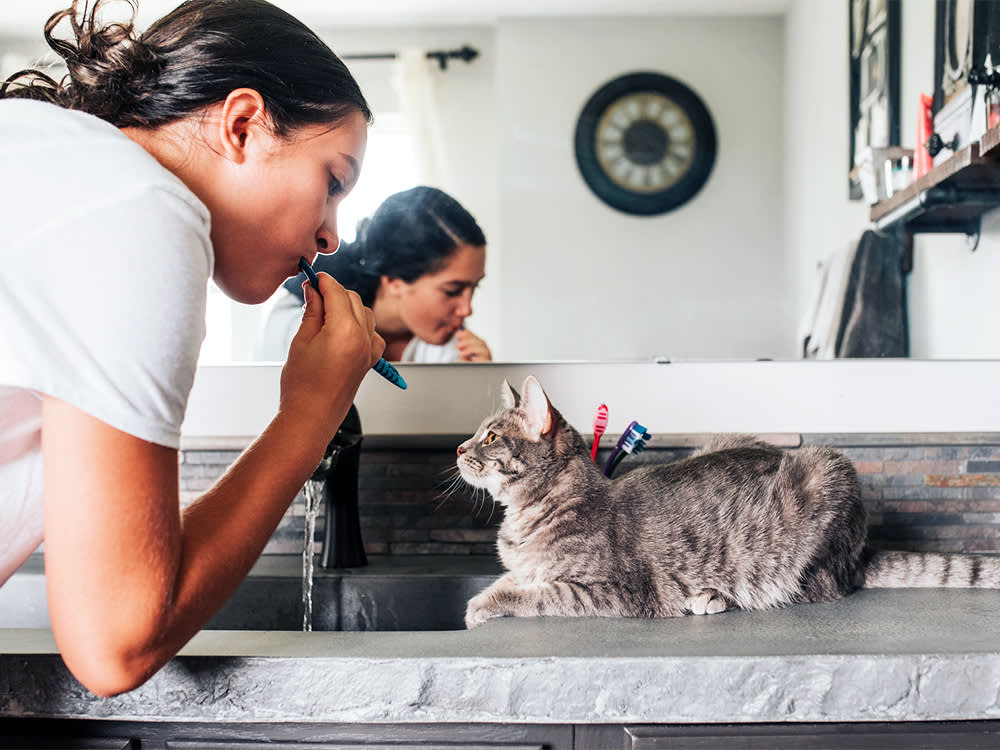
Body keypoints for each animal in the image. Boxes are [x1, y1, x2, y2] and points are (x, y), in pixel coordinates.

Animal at [458, 376, 1000, 628]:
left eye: (490, 436)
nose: (460, 448)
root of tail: (859, 553)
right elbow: (512, 579)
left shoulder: (611, 591)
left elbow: (531, 593)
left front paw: (479, 606)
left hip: (823, 479)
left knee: (812, 588)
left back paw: (714, 596)